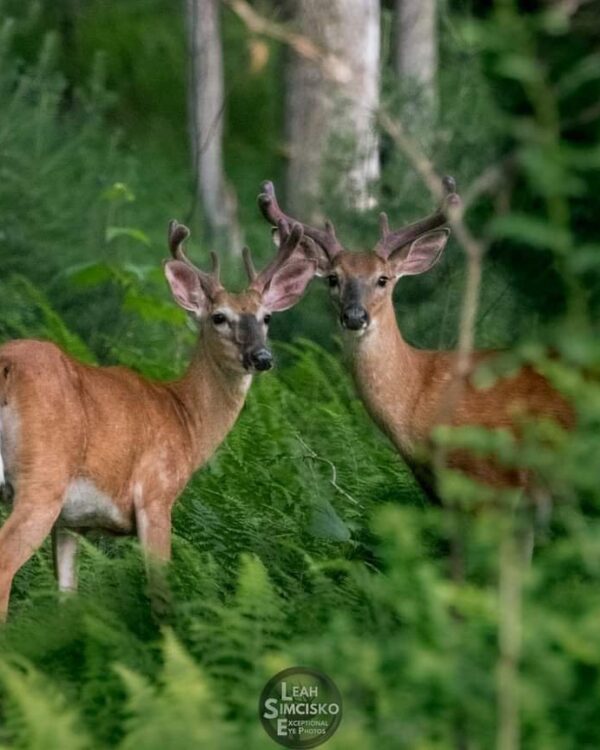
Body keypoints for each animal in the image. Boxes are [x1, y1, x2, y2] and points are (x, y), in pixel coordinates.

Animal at [0, 219, 314, 624]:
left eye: (267, 317)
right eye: (219, 317)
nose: (262, 357)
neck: (184, 417)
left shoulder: (71, 523)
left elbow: (67, 598)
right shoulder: (156, 493)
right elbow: (161, 592)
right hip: (43, 478)